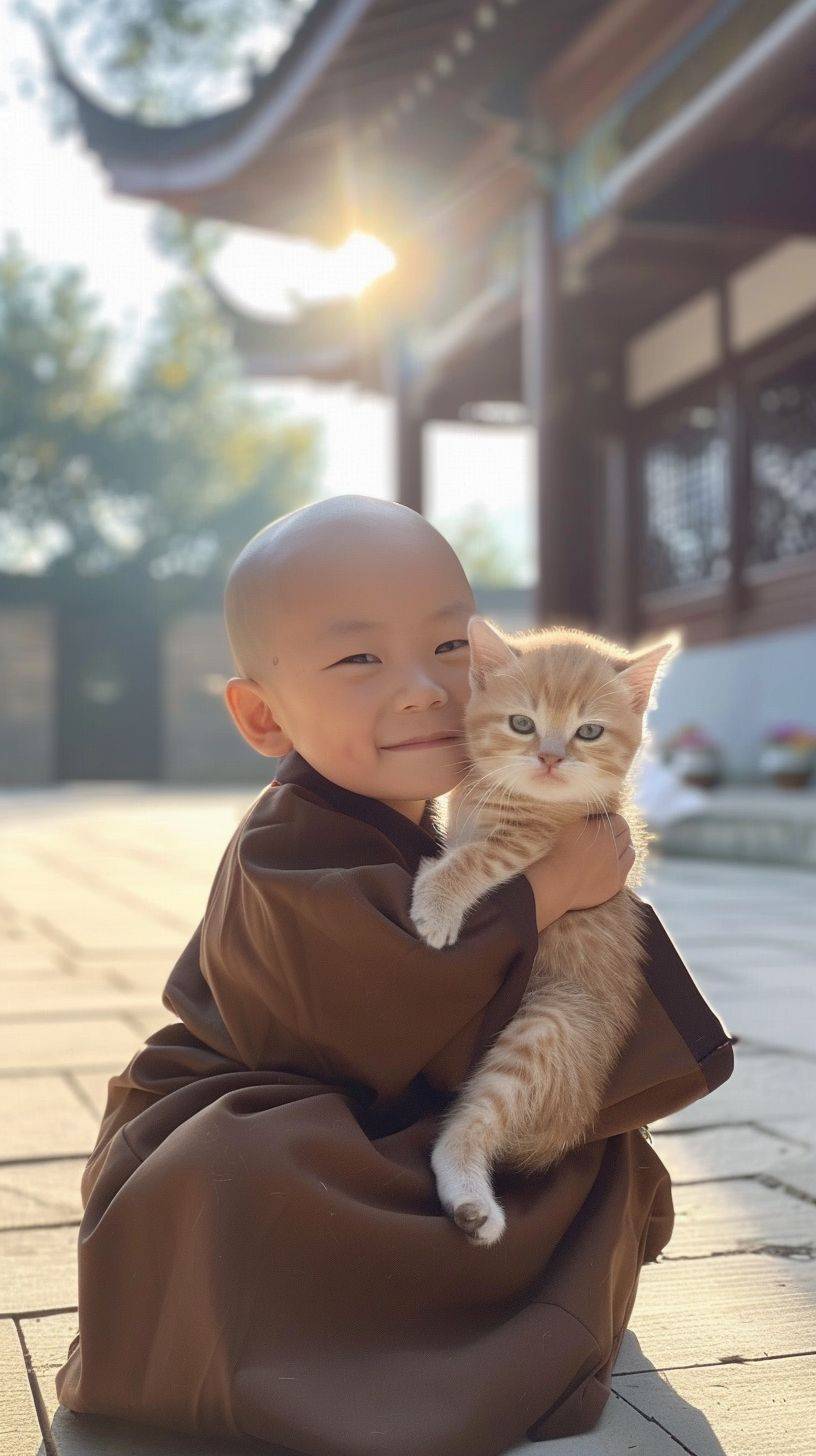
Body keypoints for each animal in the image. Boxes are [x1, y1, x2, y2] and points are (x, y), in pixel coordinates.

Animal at [410, 620, 679, 1246]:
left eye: (589, 731)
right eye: (522, 723)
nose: (551, 757)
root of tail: (570, 1126)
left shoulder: (531, 843)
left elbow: (479, 858)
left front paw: (436, 903)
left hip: (547, 1028)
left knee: (471, 1123)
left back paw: (473, 1204)